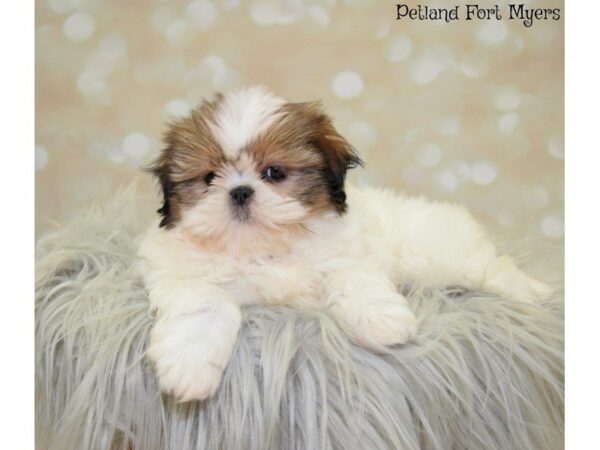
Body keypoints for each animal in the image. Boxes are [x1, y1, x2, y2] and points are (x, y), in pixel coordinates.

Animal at [138, 86, 552, 402]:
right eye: (208, 178)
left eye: (275, 172)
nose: (239, 191)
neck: (265, 250)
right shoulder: (184, 277)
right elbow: (203, 307)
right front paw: (188, 368)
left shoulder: (347, 256)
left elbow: (355, 281)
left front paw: (383, 322)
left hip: (444, 257)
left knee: (497, 268)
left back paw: (531, 295)